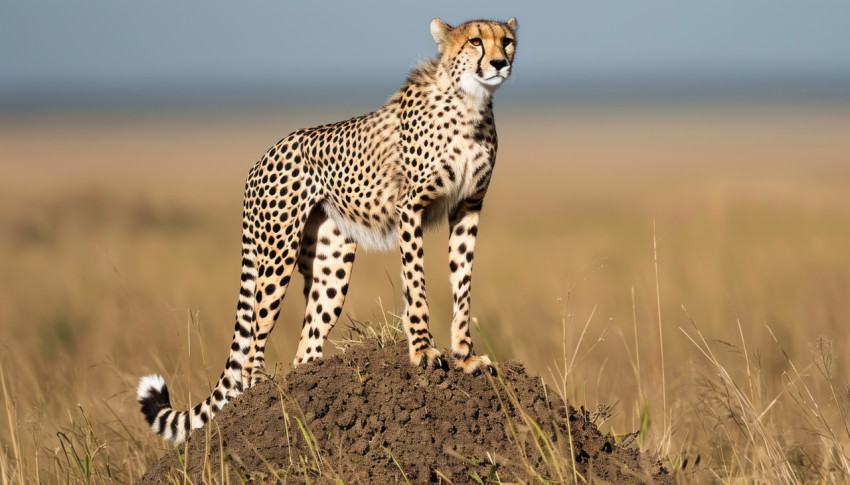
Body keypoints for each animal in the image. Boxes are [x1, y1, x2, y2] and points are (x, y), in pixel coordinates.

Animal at [137, 17, 516, 442]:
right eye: (475, 41)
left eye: (507, 41)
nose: (499, 63)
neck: (470, 102)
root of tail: (261, 158)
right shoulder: (410, 208)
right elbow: (416, 285)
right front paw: (422, 351)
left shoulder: (468, 207)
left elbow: (462, 285)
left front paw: (466, 356)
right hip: (277, 254)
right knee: (253, 341)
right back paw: (263, 388)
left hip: (332, 264)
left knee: (306, 345)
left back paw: (310, 382)